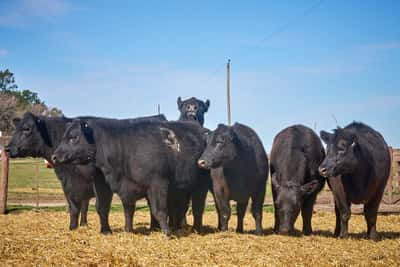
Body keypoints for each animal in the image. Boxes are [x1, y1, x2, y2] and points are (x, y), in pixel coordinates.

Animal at [6, 112, 166, 233]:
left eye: (27, 128)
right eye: (16, 128)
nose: (7, 148)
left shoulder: (99, 180)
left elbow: (100, 206)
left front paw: (105, 230)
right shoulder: (68, 183)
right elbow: (75, 207)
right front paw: (73, 227)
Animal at [52, 119, 209, 237]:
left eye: (73, 137)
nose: (54, 157)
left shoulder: (158, 183)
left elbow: (159, 210)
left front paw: (167, 233)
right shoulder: (114, 185)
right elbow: (119, 208)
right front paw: (121, 230)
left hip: (200, 187)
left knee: (197, 207)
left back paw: (196, 229)